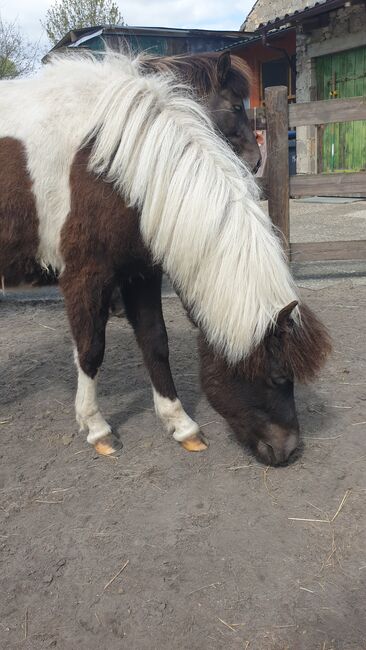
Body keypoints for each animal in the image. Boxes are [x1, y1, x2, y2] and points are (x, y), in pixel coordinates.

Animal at [0, 53, 332, 464]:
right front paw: (96, 428)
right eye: (278, 377)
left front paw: (180, 424)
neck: (112, 162)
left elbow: (155, 341)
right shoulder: (84, 276)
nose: (286, 450)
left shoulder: (140, 272)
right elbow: (91, 350)